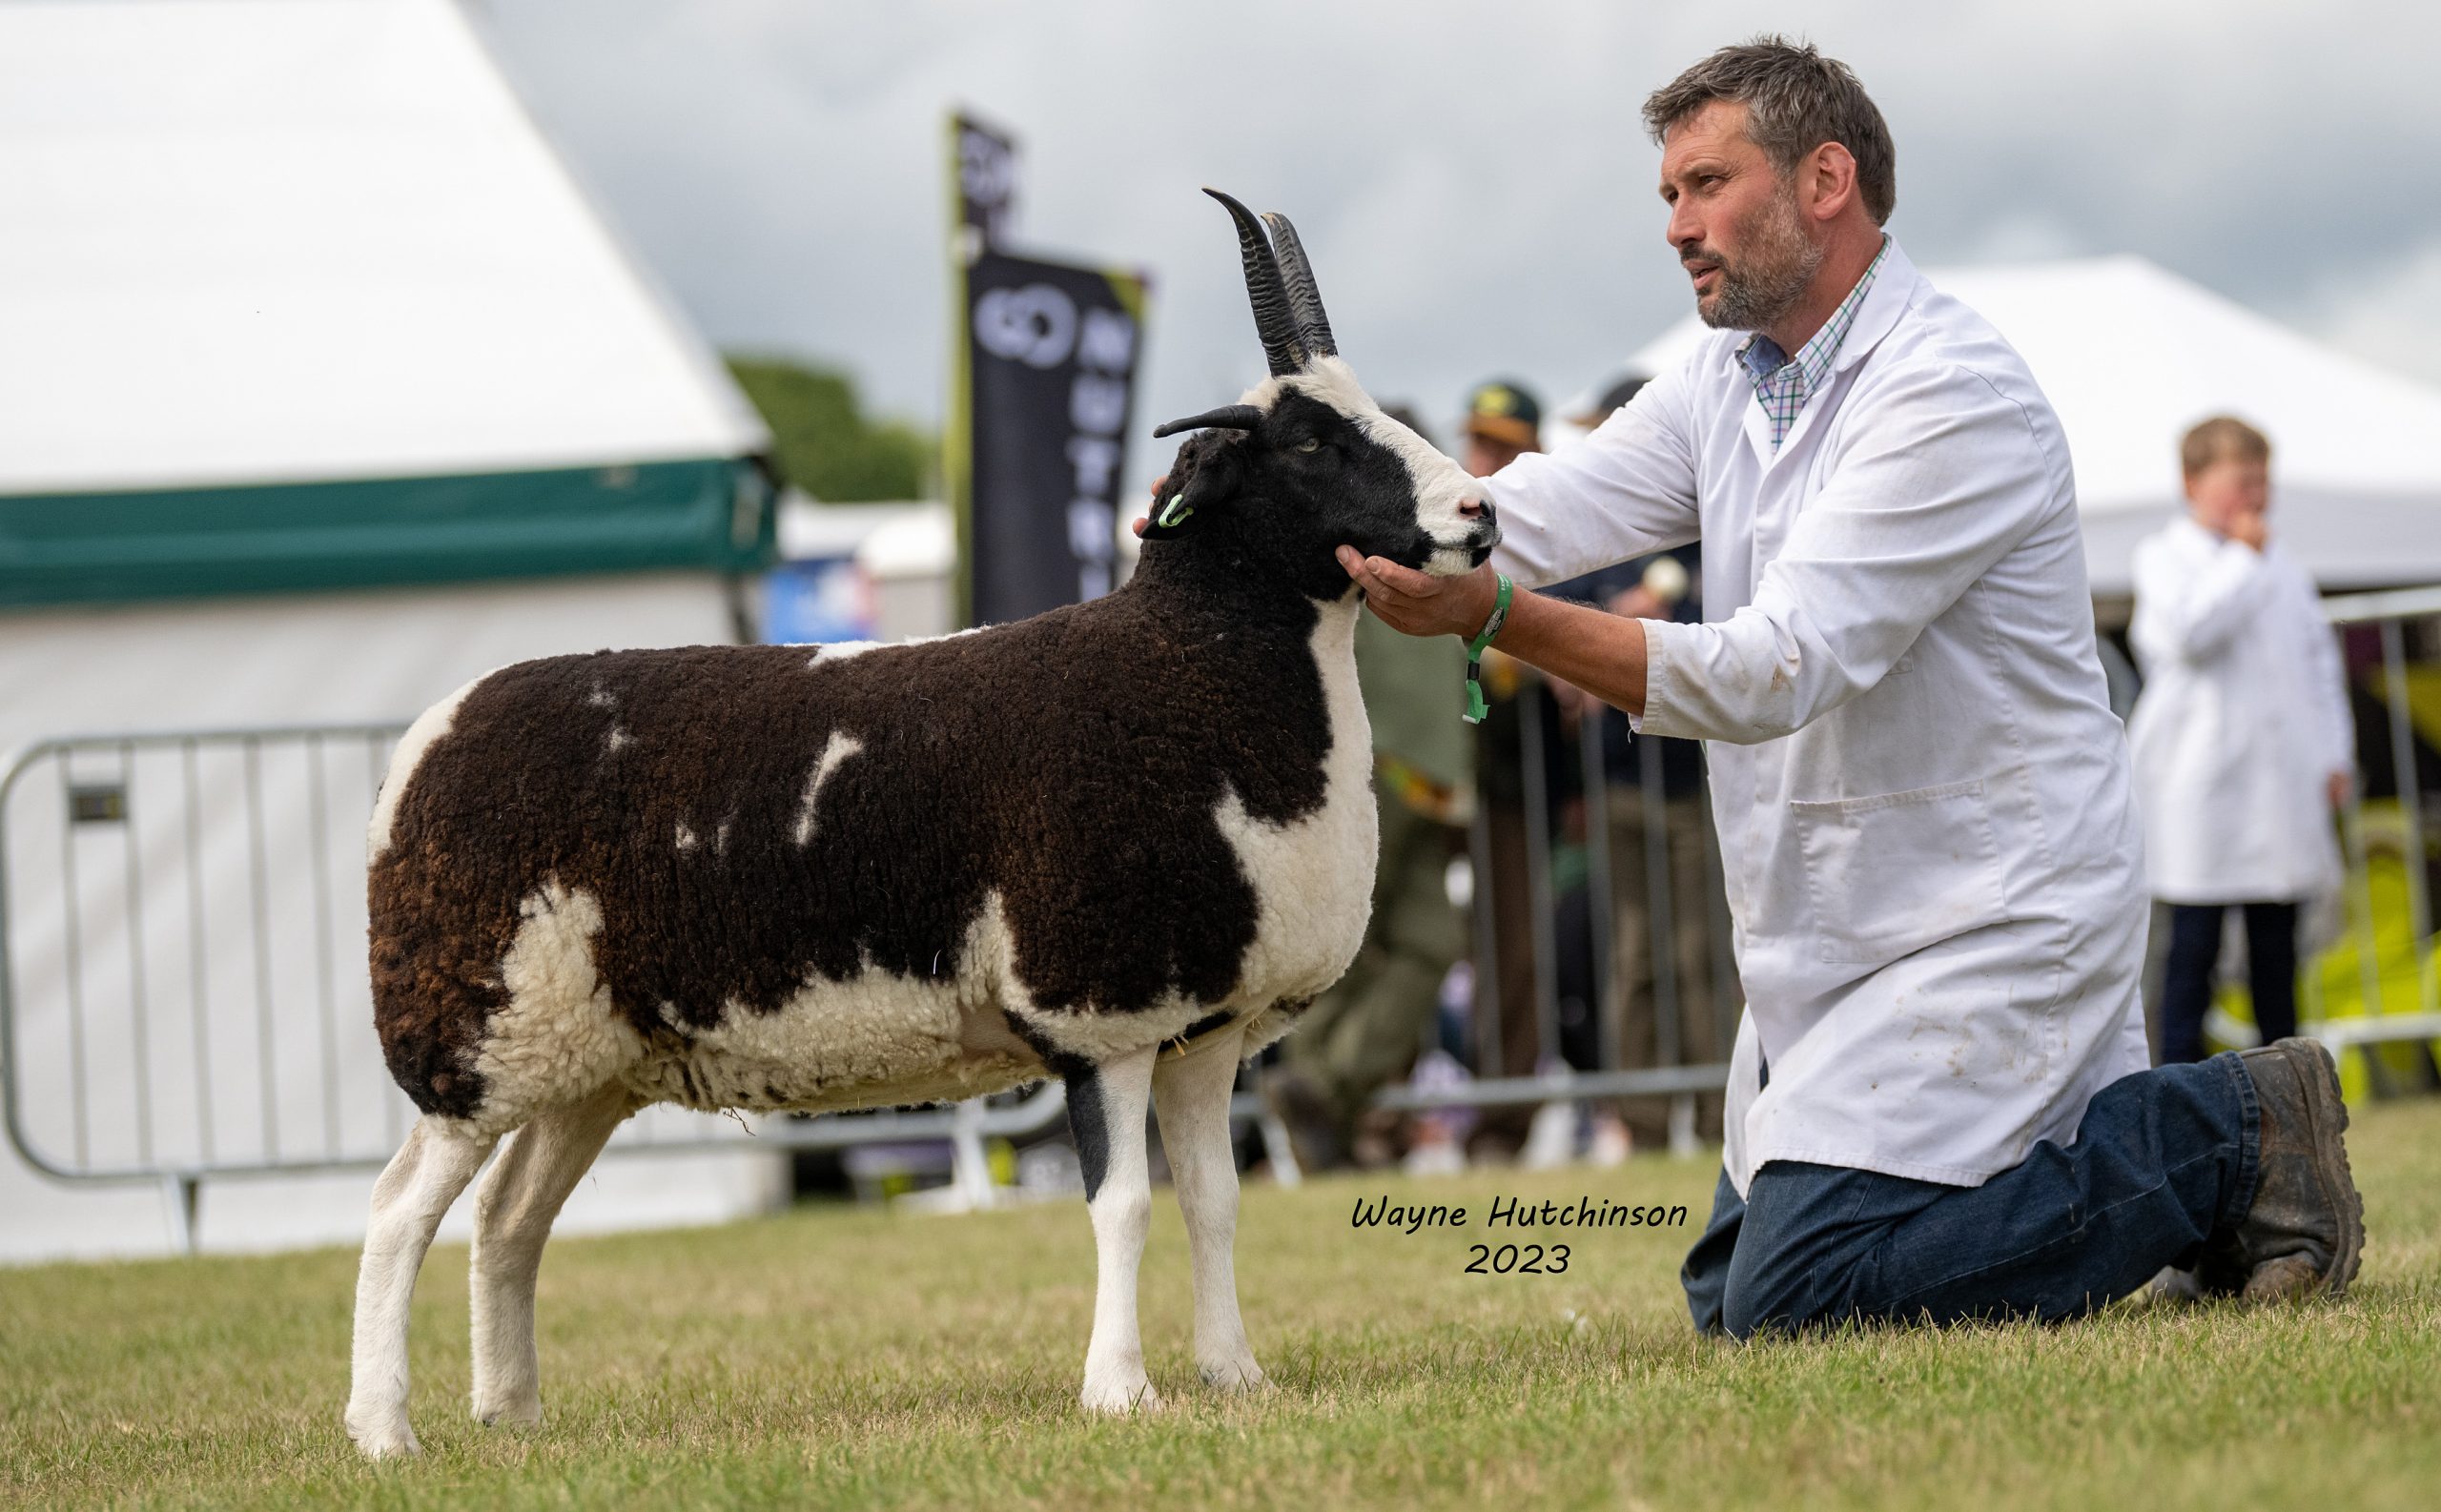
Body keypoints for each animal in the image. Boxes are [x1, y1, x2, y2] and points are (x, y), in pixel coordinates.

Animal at [341, 189, 1484, 1453]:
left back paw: (514, 1417)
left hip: (583, 1056)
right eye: (1310, 442)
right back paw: (384, 1429)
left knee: (507, 1216)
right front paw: (1118, 1387)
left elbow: (1217, 1201)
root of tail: (429, 736)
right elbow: (1125, 1205)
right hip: (473, 1024)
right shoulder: (1101, 1008)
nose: (1478, 511)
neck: (1189, 669)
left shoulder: (1204, 1026)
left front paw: (1235, 1376)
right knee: (397, 1210)